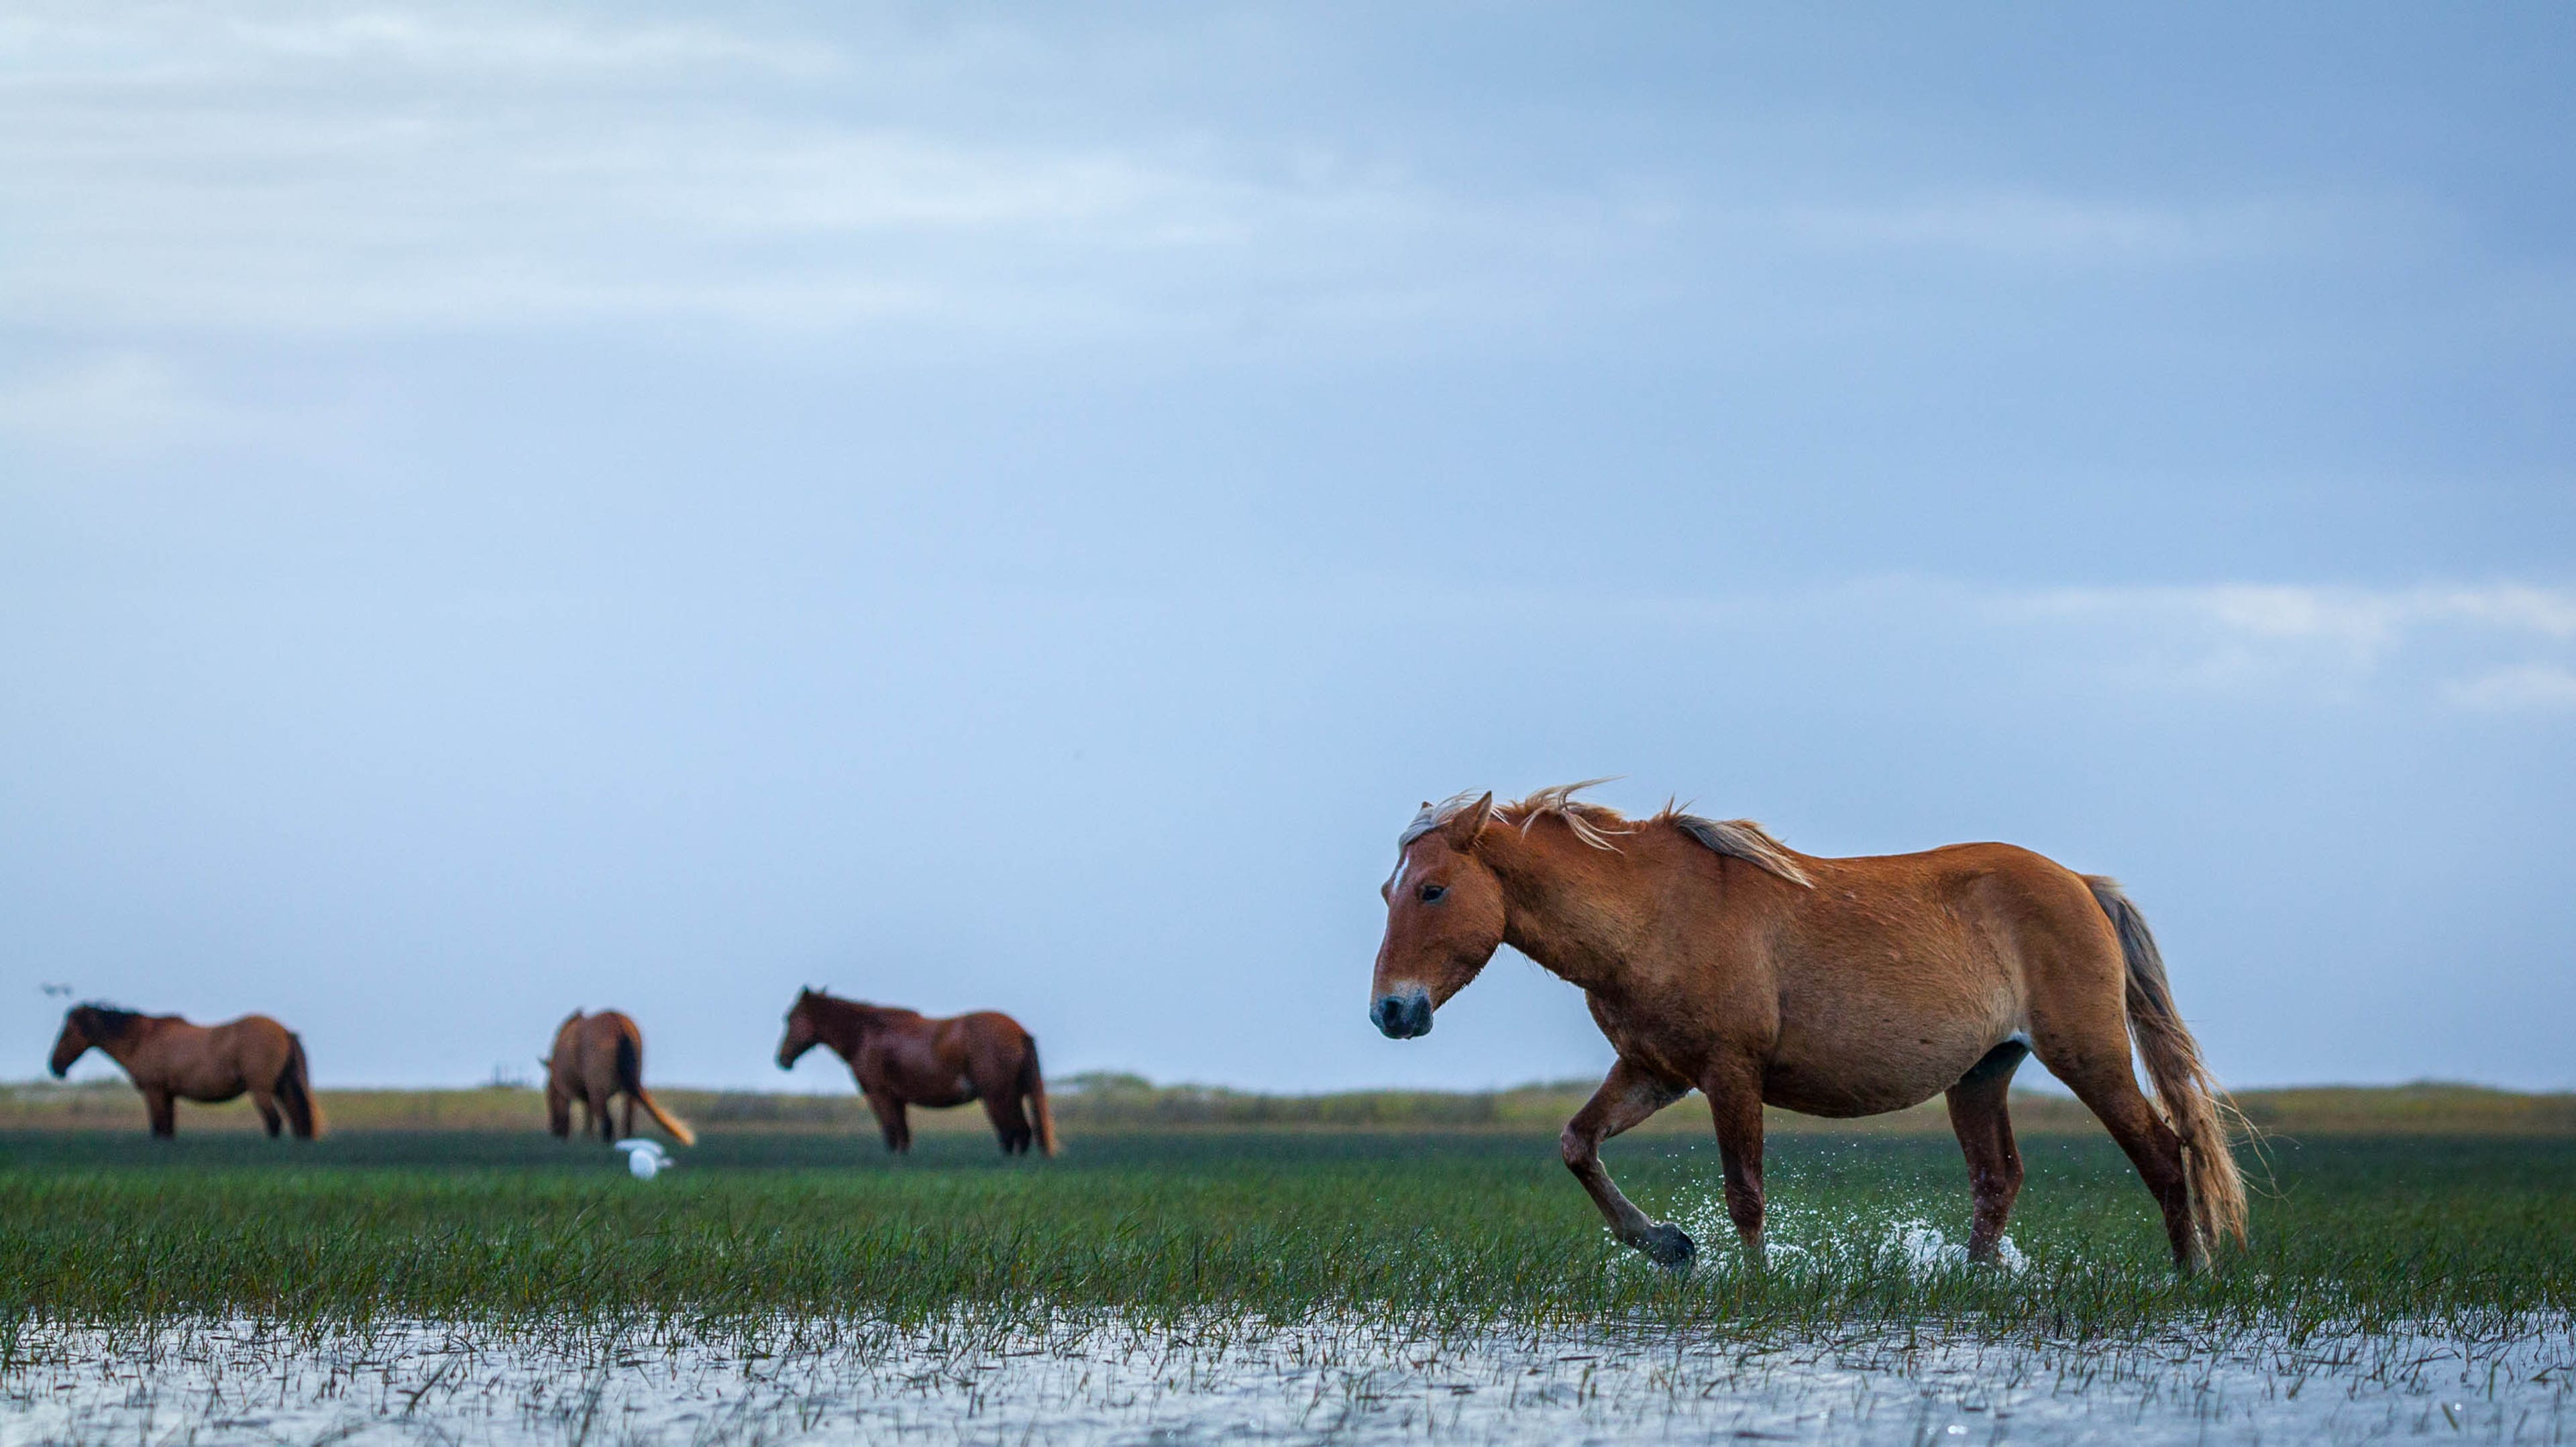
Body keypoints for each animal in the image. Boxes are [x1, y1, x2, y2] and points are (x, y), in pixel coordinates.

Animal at [47, 1003, 322, 1139]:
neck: (141, 1039)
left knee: (275, 1122)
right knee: (298, 1123)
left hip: (261, 1090)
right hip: (285, 1087)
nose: (55, 1066)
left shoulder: (155, 1092)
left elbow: (160, 1130)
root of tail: (286, 1031)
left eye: (67, 1032)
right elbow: (168, 1130)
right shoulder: (167, 1095)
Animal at [545, 1009, 696, 1146]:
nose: (554, 1132)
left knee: (608, 1123)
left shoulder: (570, 1092)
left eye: (549, 1097)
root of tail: (620, 1025)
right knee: (627, 1122)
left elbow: (576, 1116)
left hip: (598, 1090)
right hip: (629, 1088)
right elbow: (589, 1117)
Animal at [776, 988, 1057, 1155]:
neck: (867, 1034)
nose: (782, 1059)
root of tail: (1020, 1031)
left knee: (1015, 1133)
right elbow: (903, 1137)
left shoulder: (880, 1095)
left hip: (998, 1096)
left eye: (789, 1017)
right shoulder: (898, 1099)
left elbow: (892, 1135)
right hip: (1011, 1095)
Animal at [1368, 783, 2246, 1275]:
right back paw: (1973, 1284)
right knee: (1997, 1180)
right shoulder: (1656, 1069)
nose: (1391, 1012)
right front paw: (1668, 1246)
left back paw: (2190, 1275)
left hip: (2089, 1057)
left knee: (2164, 1153)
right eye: (1389, 889)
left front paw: (1753, 1285)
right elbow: (1577, 1144)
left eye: (1435, 890)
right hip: (1982, 1074)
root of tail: (2081, 884)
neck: (1650, 914)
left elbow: (1746, 1192)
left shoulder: (1730, 1073)